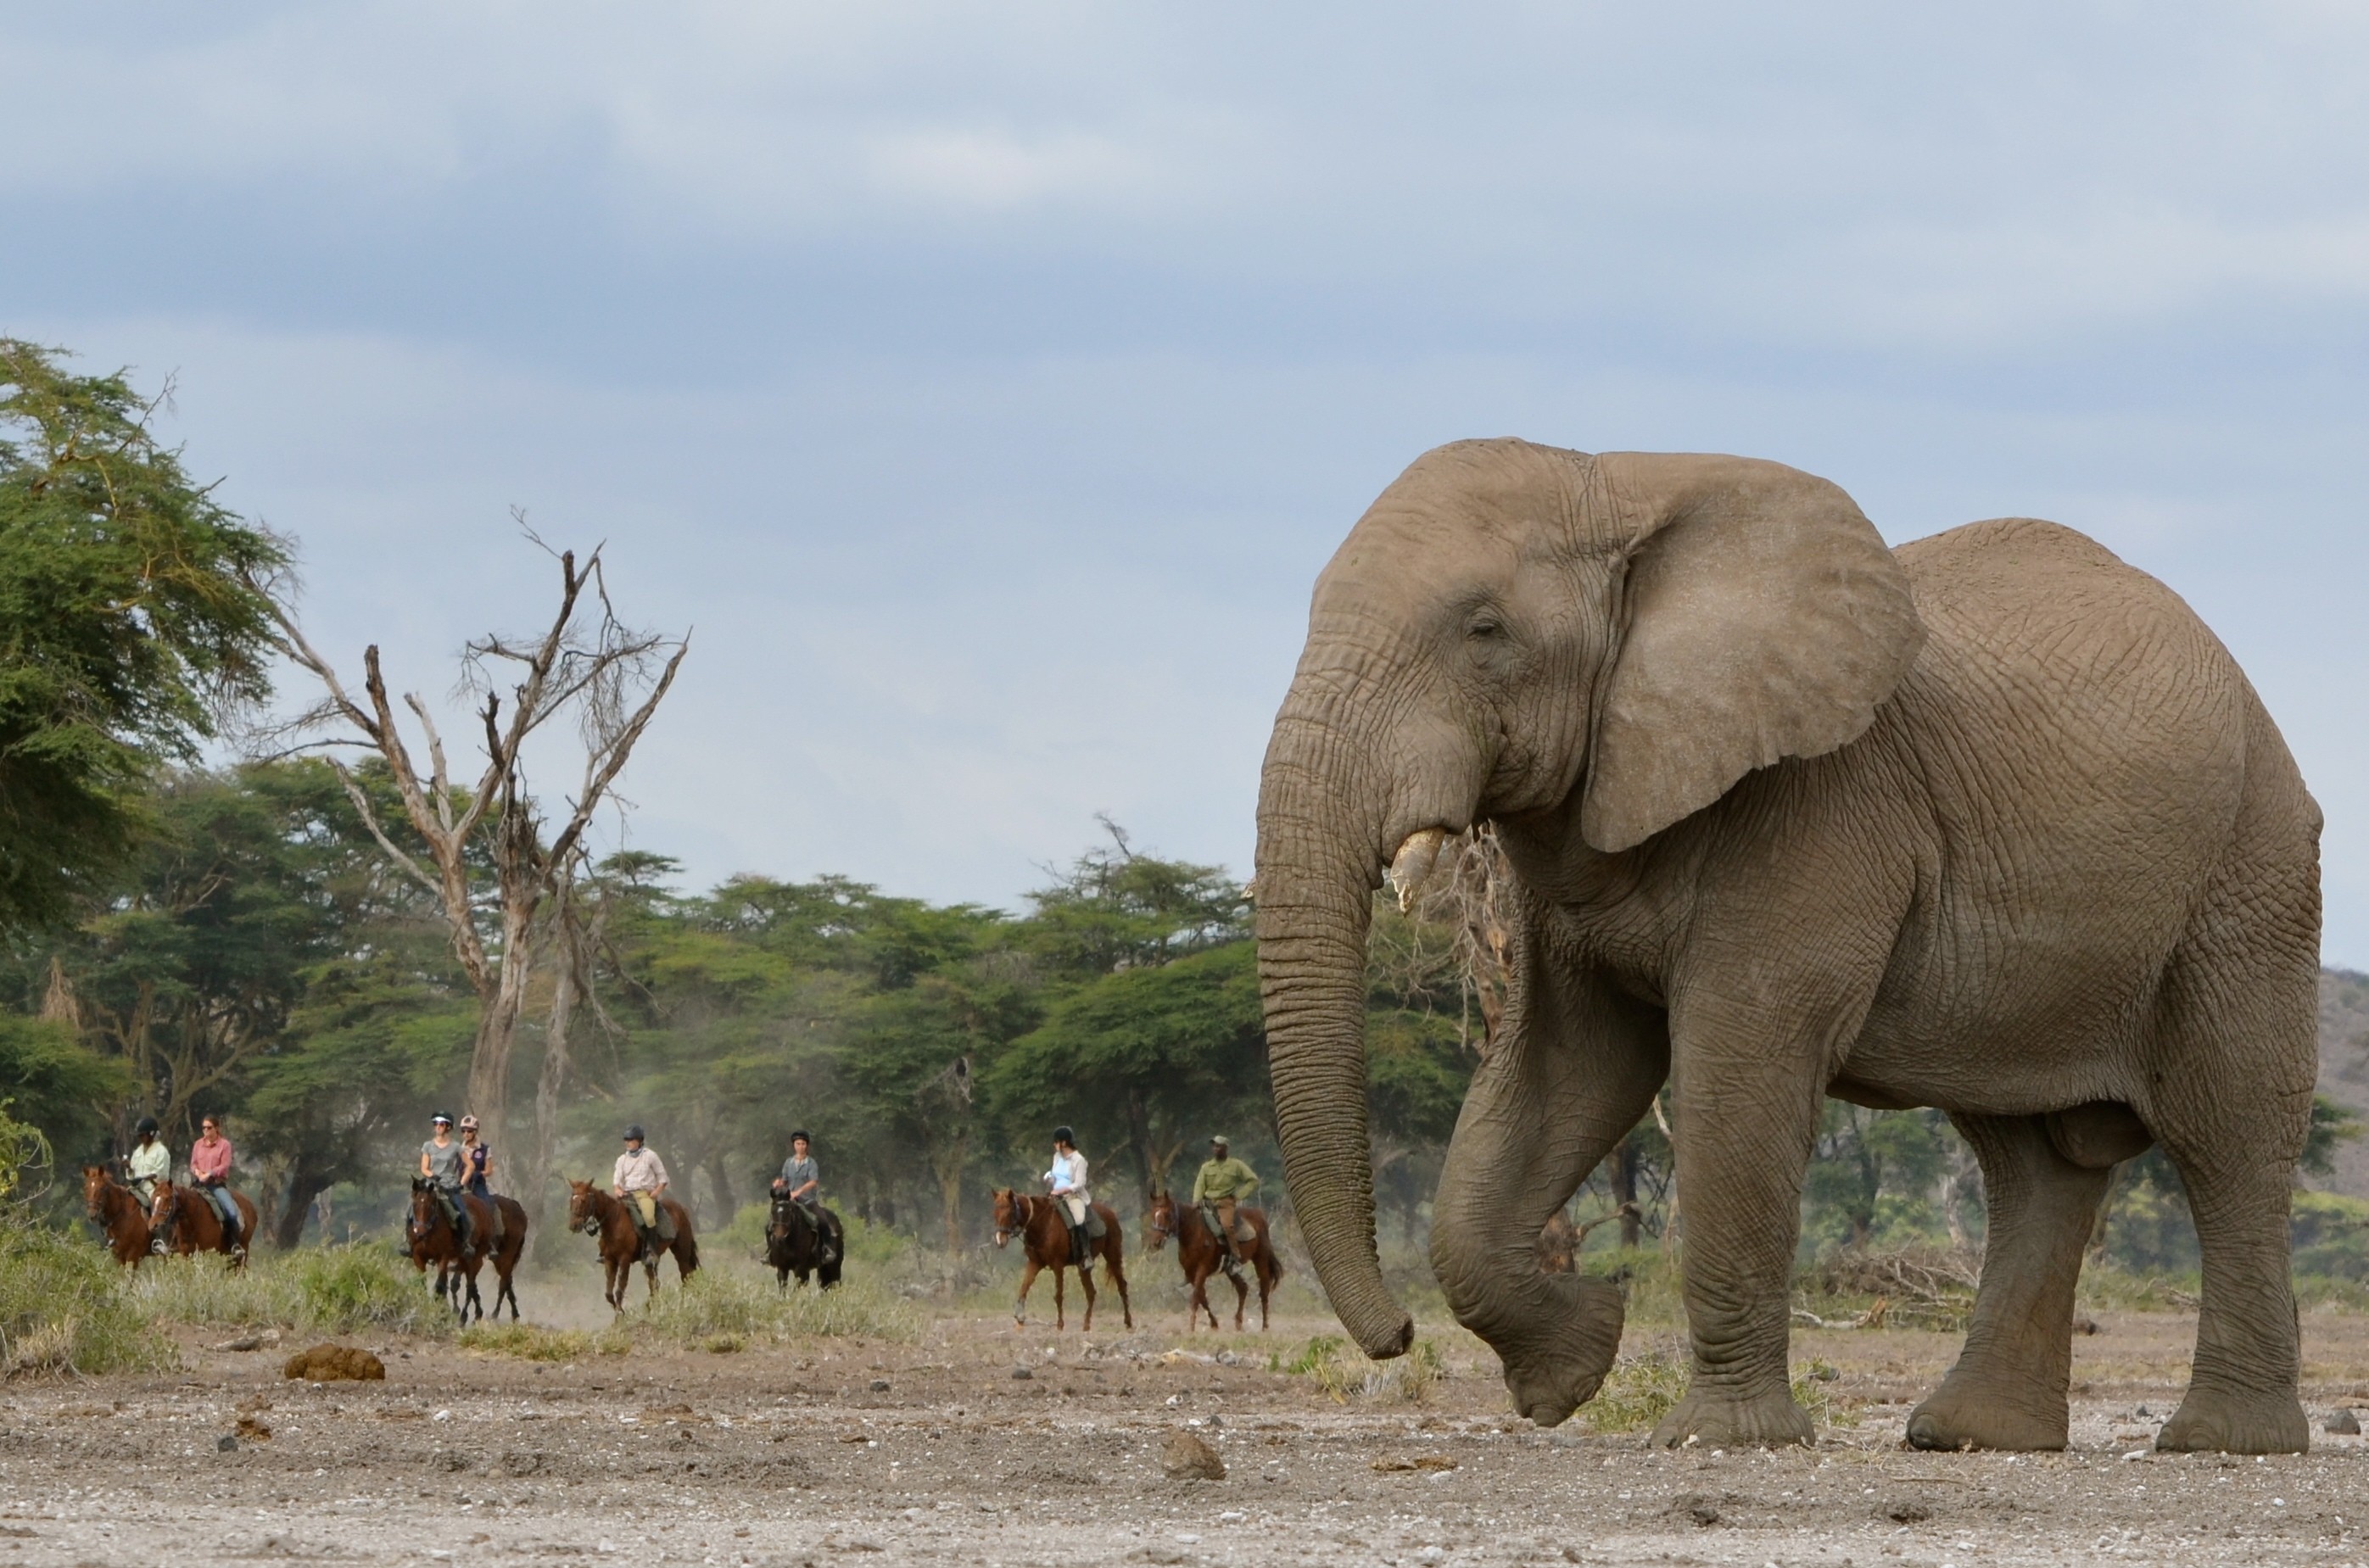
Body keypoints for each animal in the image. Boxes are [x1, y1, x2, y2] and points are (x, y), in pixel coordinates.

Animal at [1254, 438, 2319, 1453]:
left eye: (1484, 631)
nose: (1396, 1337)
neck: (1623, 490)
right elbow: (1563, 1072)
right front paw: (1573, 1368)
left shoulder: (1822, 801)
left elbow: (1736, 1070)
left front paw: (1715, 1436)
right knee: (2029, 1163)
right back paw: (1968, 1435)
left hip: (2249, 872)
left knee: (2228, 1133)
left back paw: (2223, 1441)